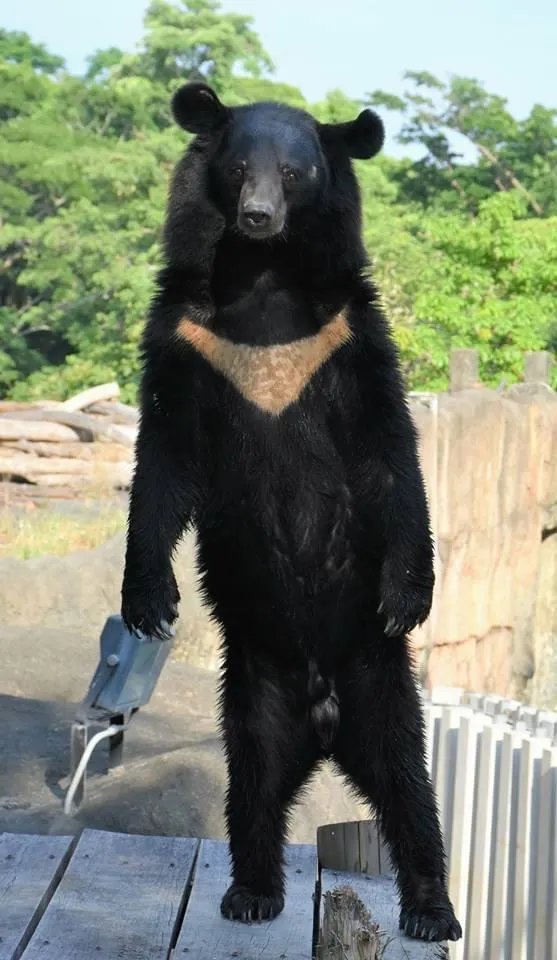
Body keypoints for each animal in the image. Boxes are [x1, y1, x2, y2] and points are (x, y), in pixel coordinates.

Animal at [121, 81, 462, 943]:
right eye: (241, 167)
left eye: (296, 172)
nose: (256, 216)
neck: (264, 274)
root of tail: (323, 715)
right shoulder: (184, 333)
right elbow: (165, 457)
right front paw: (149, 602)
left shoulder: (346, 334)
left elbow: (386, 450)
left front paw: (409, 593)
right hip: (250, 696)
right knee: (253, 789)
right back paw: (251, 891)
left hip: (379, 683)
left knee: (408, 790)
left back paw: (430, 910)